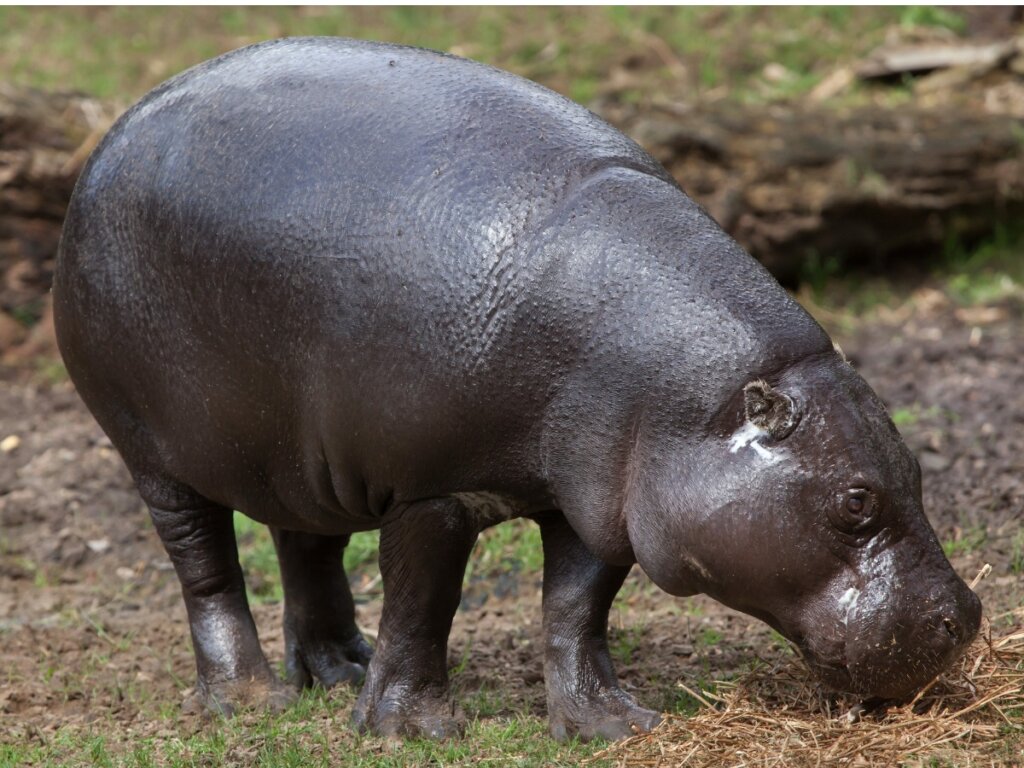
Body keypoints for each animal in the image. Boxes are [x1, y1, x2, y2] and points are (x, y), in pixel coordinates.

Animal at [53, 37, 981, 741]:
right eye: (856, 500)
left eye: (917, 469)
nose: (964, 617)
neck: (687, 396)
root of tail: (117, 130)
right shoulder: (432, 489)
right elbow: (424, 602)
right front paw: (412, 730)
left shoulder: (596, 495)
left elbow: (576, 611)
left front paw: (609, 724)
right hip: (154, 452)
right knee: (204, 567)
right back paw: (248, 700)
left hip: (300, 449)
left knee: (305, 544)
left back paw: (338, 670)